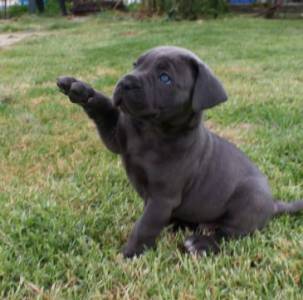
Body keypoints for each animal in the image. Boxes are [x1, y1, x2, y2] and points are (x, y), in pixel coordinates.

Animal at [57, 46, 303, 258]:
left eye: (164, 78)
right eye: (135, 64)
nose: (125, 81)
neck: (152, 132)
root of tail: (273, 204)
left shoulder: (162, 198)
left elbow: (145, 226)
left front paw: (130, 254)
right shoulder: (118, 138)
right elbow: (104, 110)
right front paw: (82, 91)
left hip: (247, 202)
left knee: (229, 234)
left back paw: (201, 243)